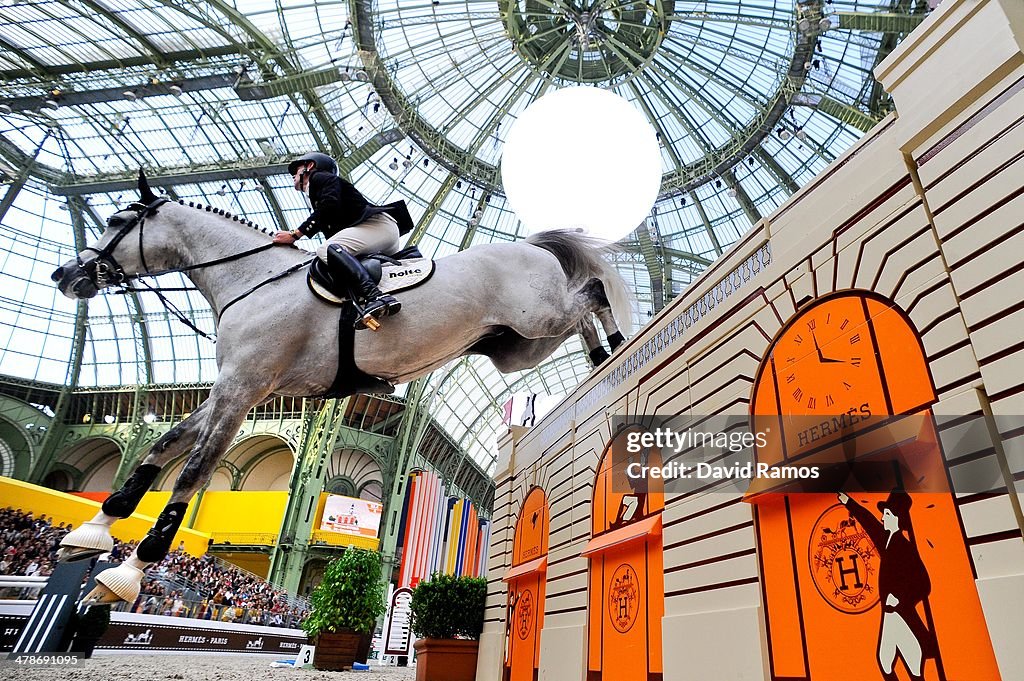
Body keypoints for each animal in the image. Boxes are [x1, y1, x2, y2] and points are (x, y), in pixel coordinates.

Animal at [51, 173, 626, 602]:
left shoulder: (243, 389)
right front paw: (91, 531)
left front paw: (126, 574)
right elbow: (164, 445)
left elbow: (193, 472)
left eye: (117, 221)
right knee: (579, 316)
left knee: (594, 293)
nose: (64, 275)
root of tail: (531, 246)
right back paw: (600, 359)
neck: (251, 282)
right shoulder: (237, 392)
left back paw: (617, 346)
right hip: (518, 347)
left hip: (537, 319)